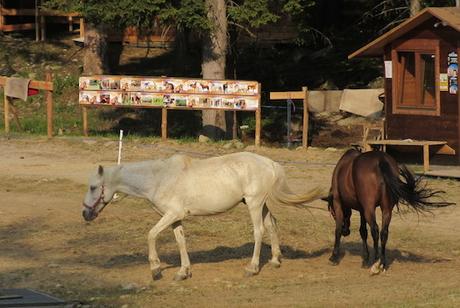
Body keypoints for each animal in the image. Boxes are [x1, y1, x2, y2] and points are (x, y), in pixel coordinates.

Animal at [82, 153, 320, 280]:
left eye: (93, 187)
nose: (85, 214)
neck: (158, 178)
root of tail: (270, 163)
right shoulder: (175, 218)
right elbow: (180, 241)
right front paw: (183, 272)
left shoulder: (171, 214)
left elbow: (151, 235)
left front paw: (156, 269)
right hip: (259, 204)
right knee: (272, 225)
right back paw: (275, 260)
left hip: (254, 203)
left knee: (259, 231)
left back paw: (252, 268)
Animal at [324, 149, 452, 274]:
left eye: (332, 212)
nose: (346, 232)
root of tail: (380, 160)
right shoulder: (362, 209)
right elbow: (363, 231)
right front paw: (365, 258)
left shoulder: (338, 203)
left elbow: (338, 230)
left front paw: (334, 257)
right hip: (386, 209)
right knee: (384, 232)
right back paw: (382, 263)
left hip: (370, 208)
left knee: (375, 230)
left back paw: (376, 263)